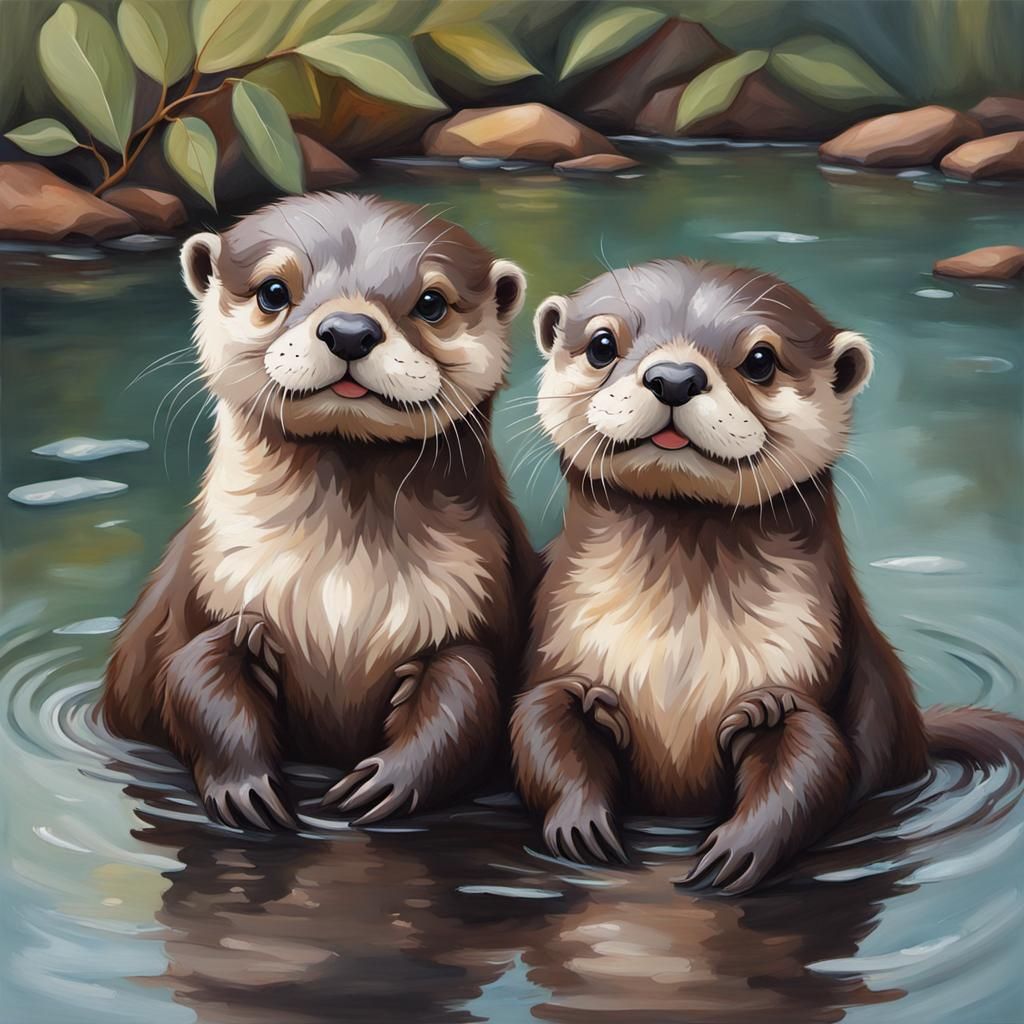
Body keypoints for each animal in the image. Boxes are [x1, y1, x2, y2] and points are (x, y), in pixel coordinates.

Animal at [100, 193, 538, 830]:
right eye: (272, 291)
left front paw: (385, 783)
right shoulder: (202, 594)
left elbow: (468, 694)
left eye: (431, 303)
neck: (338, 594)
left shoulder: (478, 602)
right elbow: (189, 678)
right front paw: (247, 788)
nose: (350, 330)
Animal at [511, 258, 1023, 893]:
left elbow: (816, 757)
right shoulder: (557, 646)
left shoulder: (810, 667)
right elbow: (540, 724)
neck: (675, 662)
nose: (674, 377)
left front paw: (737, 850)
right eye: (603, 344)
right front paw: (580, 824)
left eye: (760, 359)